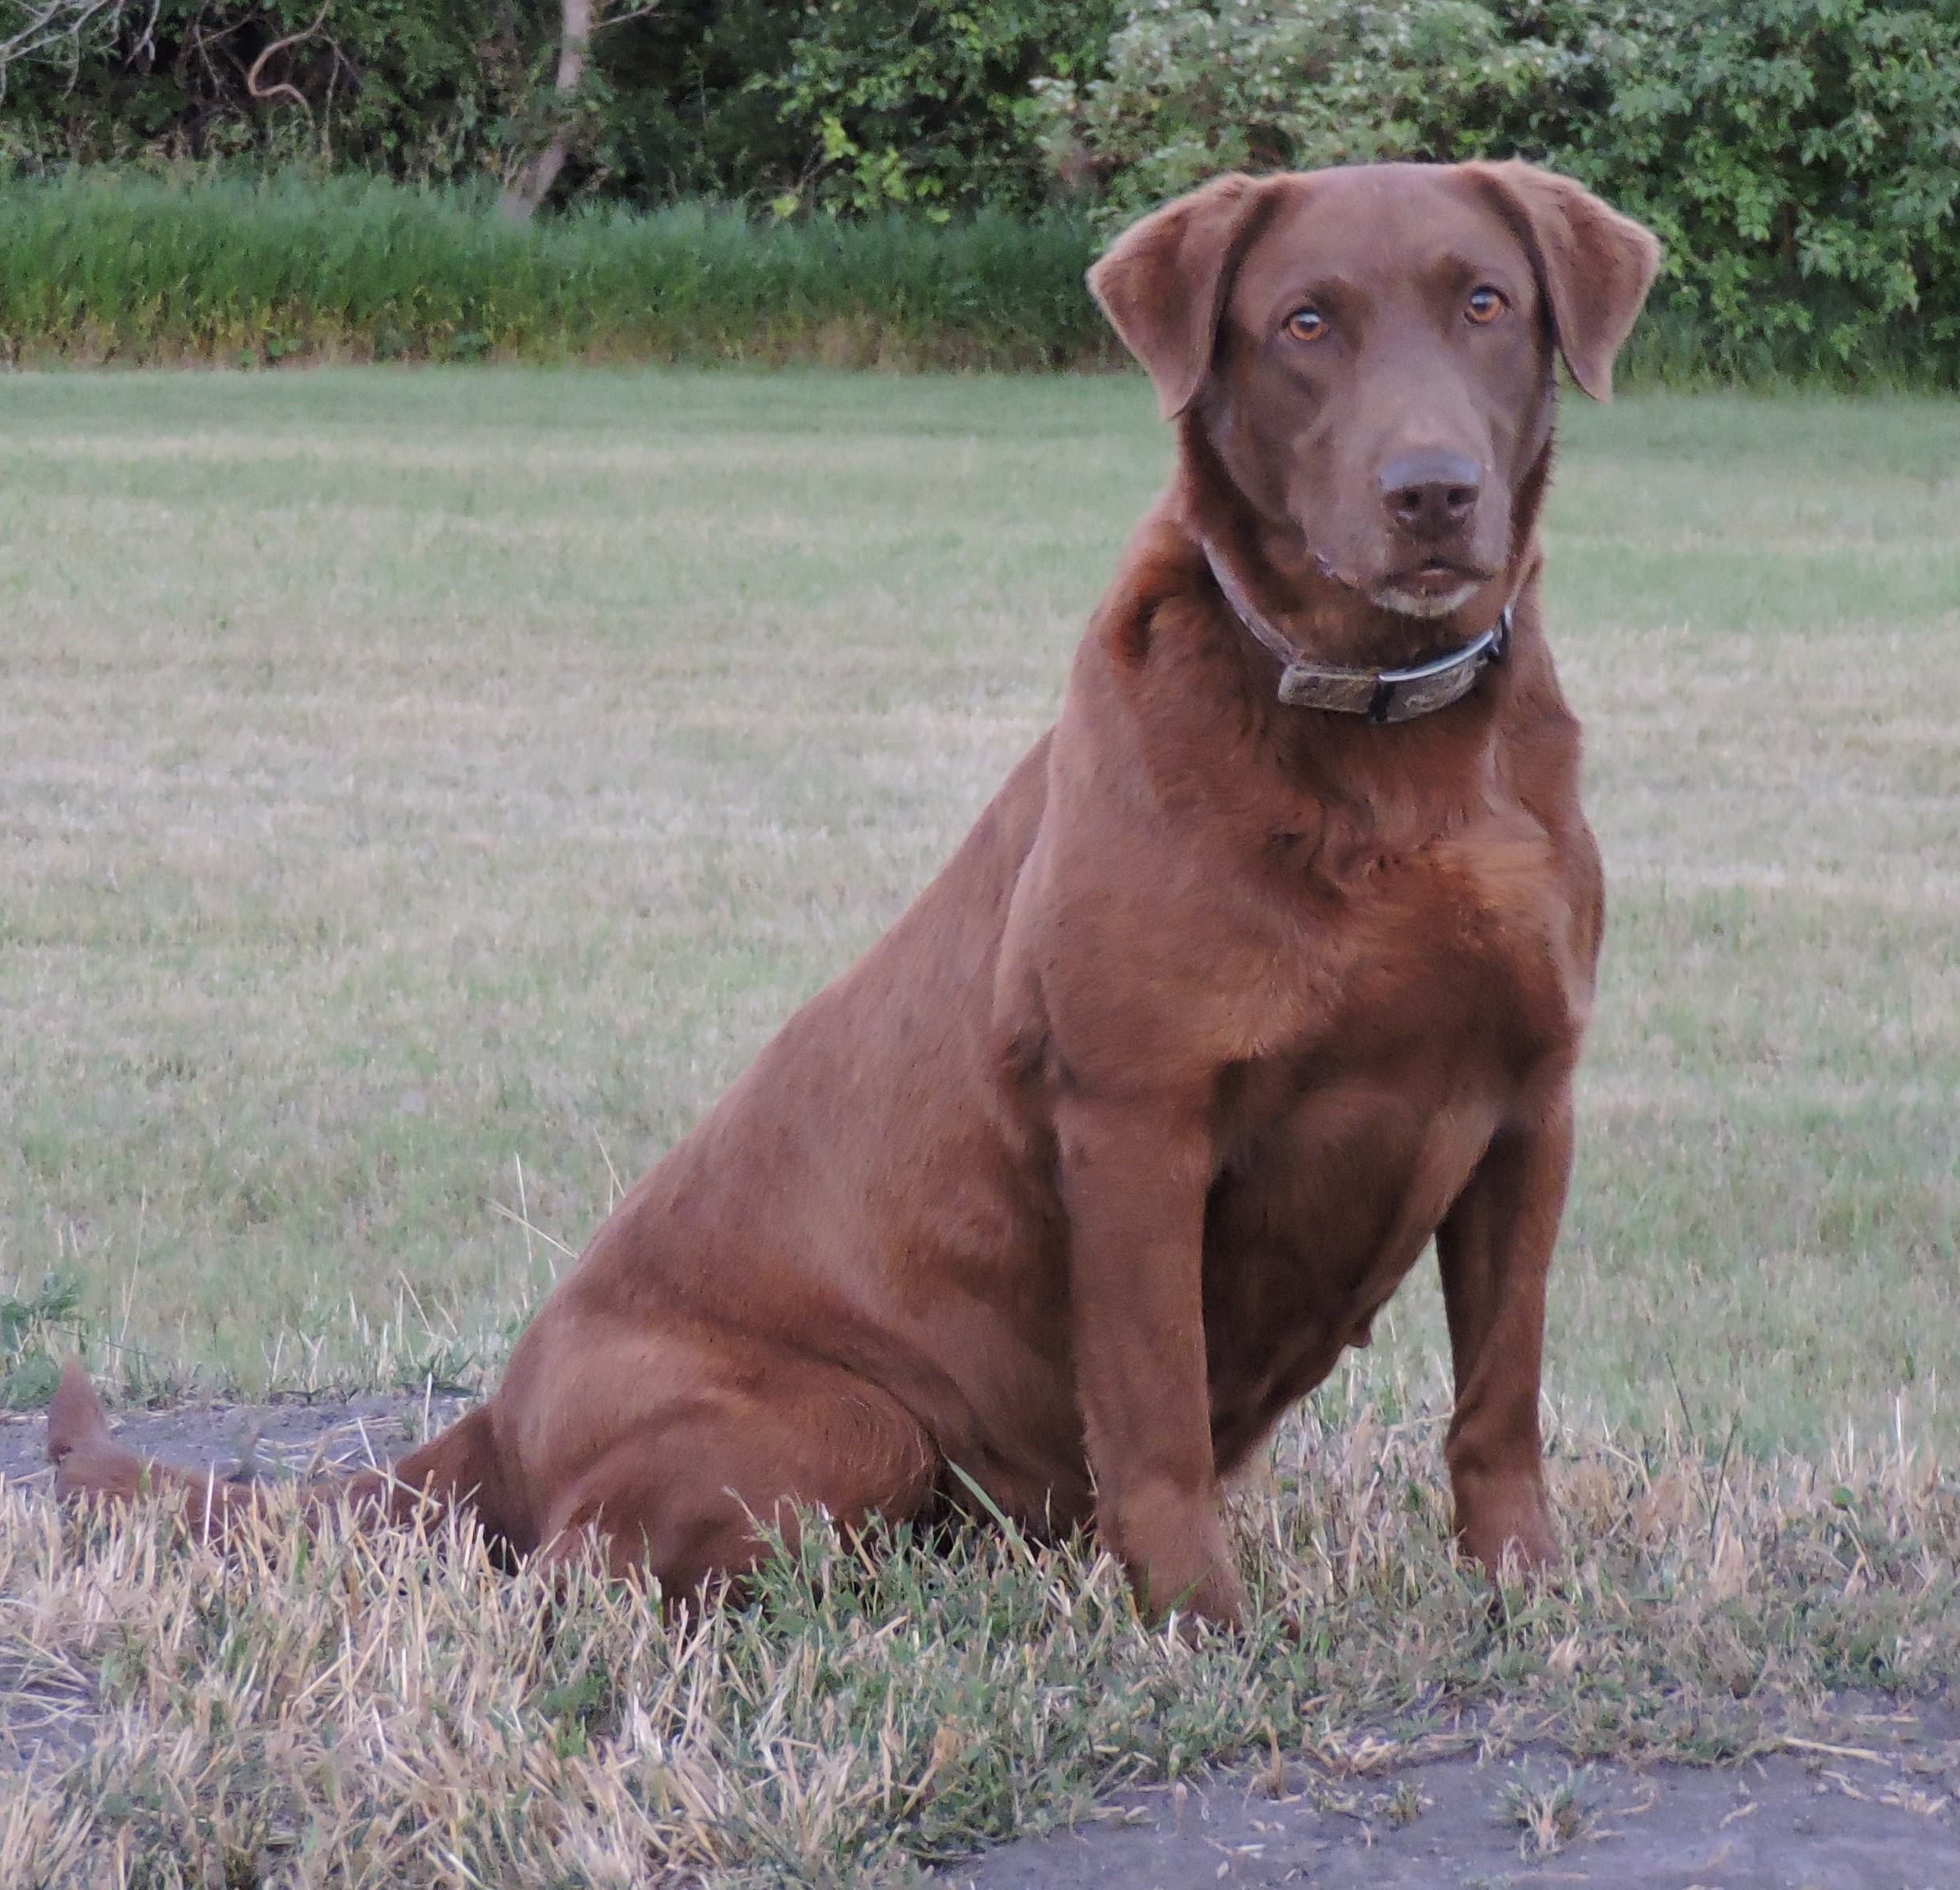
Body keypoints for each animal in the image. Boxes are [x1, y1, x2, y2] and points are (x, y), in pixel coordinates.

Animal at [49, 163, 1654, 1631]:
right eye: (1306, 322)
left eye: (1485, 304)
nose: (1431, 491)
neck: (1390, 750)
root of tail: (496, 1416)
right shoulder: (1136, 1118)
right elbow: (1157, 1419)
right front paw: (1199, 1622)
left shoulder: (1529, 1101)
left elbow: (1500, 1393)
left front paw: (1526, 1583)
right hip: (850, 1422)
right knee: (581, 1571)